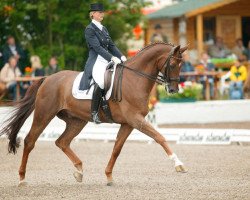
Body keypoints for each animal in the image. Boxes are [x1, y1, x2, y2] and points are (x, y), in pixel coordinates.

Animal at [0, 42, 188, 186]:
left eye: (181, 65)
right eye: (173, 64)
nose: (173, 89)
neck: (134, 79)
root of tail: (48, 78)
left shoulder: (128, 123)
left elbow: (116, 149)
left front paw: (109, 176)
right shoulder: (135, 119)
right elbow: (159, 137)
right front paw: (179, 164)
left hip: (76, 121)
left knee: (62, 142)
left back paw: (79, 171)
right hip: (44, 114)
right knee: (30, 141)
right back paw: (22, 179)